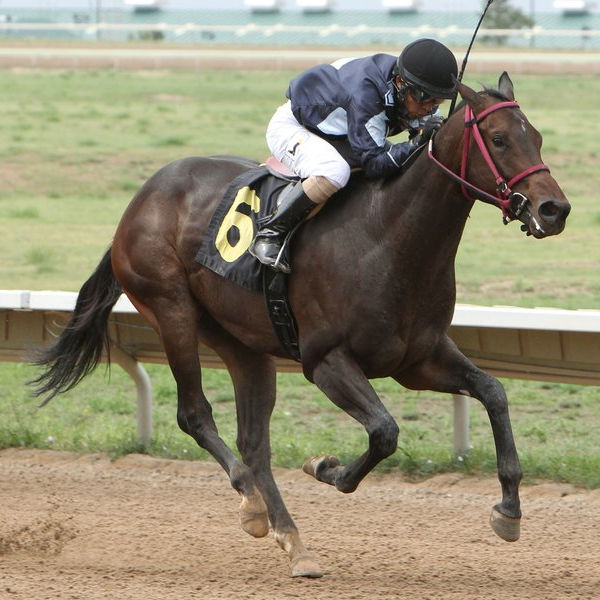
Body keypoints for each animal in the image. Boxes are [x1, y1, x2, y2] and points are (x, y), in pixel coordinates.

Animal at [31, 72, 572, 580]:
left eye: (537, 136)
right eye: (499, 139)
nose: (554, 209)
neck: (389, 237)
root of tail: (140, 199)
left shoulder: (418, 359)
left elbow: (493, 392)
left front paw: (509, 509)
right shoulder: (326, 361)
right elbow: (384, 432)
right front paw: (325, 467)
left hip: (243, 343)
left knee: (254, 443)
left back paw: (294, 542)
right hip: (172, 312)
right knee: (195, 415)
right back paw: (251, 505)